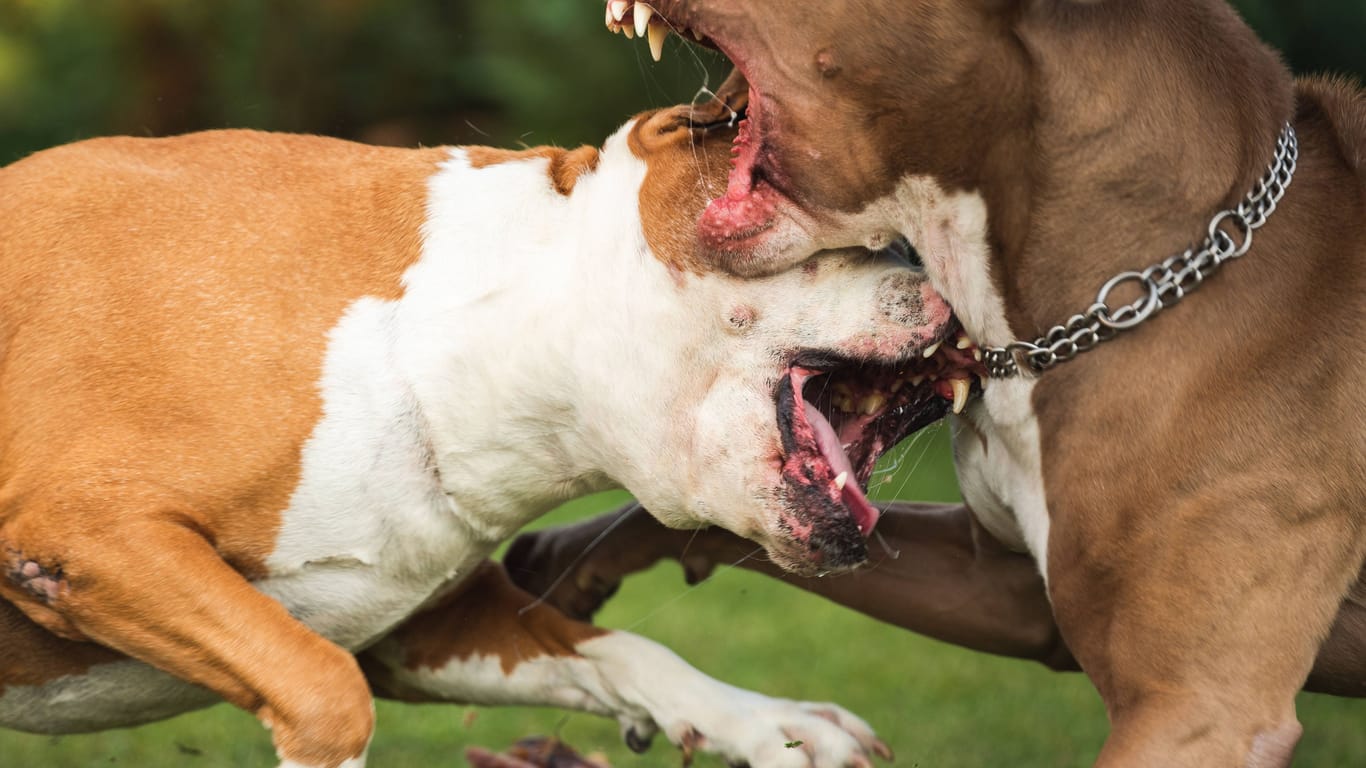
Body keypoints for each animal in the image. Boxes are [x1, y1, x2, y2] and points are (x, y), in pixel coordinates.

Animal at [0, 104, 983, 759]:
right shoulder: (92, 533)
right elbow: (327, 692)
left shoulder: (418, 626)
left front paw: (767, 722)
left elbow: (620, 648)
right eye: (879, 244)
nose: (957, 304)